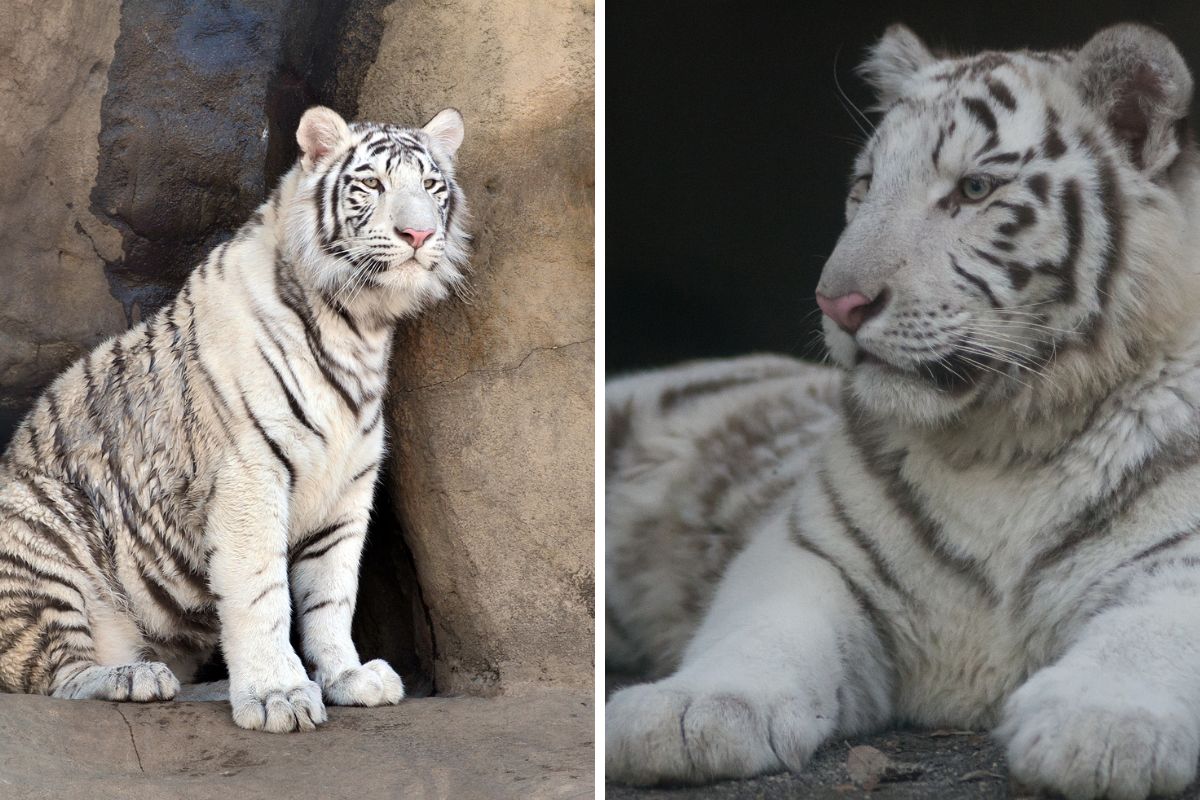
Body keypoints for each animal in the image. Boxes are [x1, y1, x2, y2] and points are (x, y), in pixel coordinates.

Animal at [0, 104, 469, 733]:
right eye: (371, 184)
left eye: (432, 186)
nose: (418, 235)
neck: (358, 326)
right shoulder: (249, 474)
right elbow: (260, 592)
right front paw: (278, 696)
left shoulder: (347, 488)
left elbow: (332, 595)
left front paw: (347, 679)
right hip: (38, 525)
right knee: (58, 677)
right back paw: (134, 677)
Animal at [605, 23, 1200, 799]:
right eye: (864, 188)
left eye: (974, 189)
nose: (839, 303)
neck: (1005, 444)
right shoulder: (814, 552)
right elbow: (760, 630)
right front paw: (686, 713)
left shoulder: (1181, 560)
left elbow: (1151, 634)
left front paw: (1099, 726)